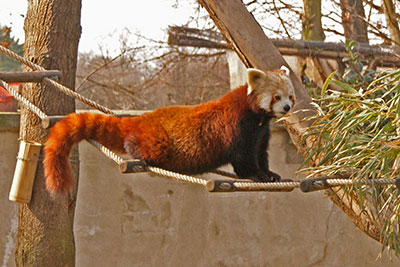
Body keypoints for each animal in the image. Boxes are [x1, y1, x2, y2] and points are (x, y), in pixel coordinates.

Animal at [43, 66, 296, 194]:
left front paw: (270, 173)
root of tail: (141, 119)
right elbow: (242, 158)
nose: (287, 107)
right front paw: (256, 174)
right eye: (277, 97)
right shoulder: (238, 126)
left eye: (291, 96)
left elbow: (261, 152)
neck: (257, 117)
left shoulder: (261, 132)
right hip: (157, 139)